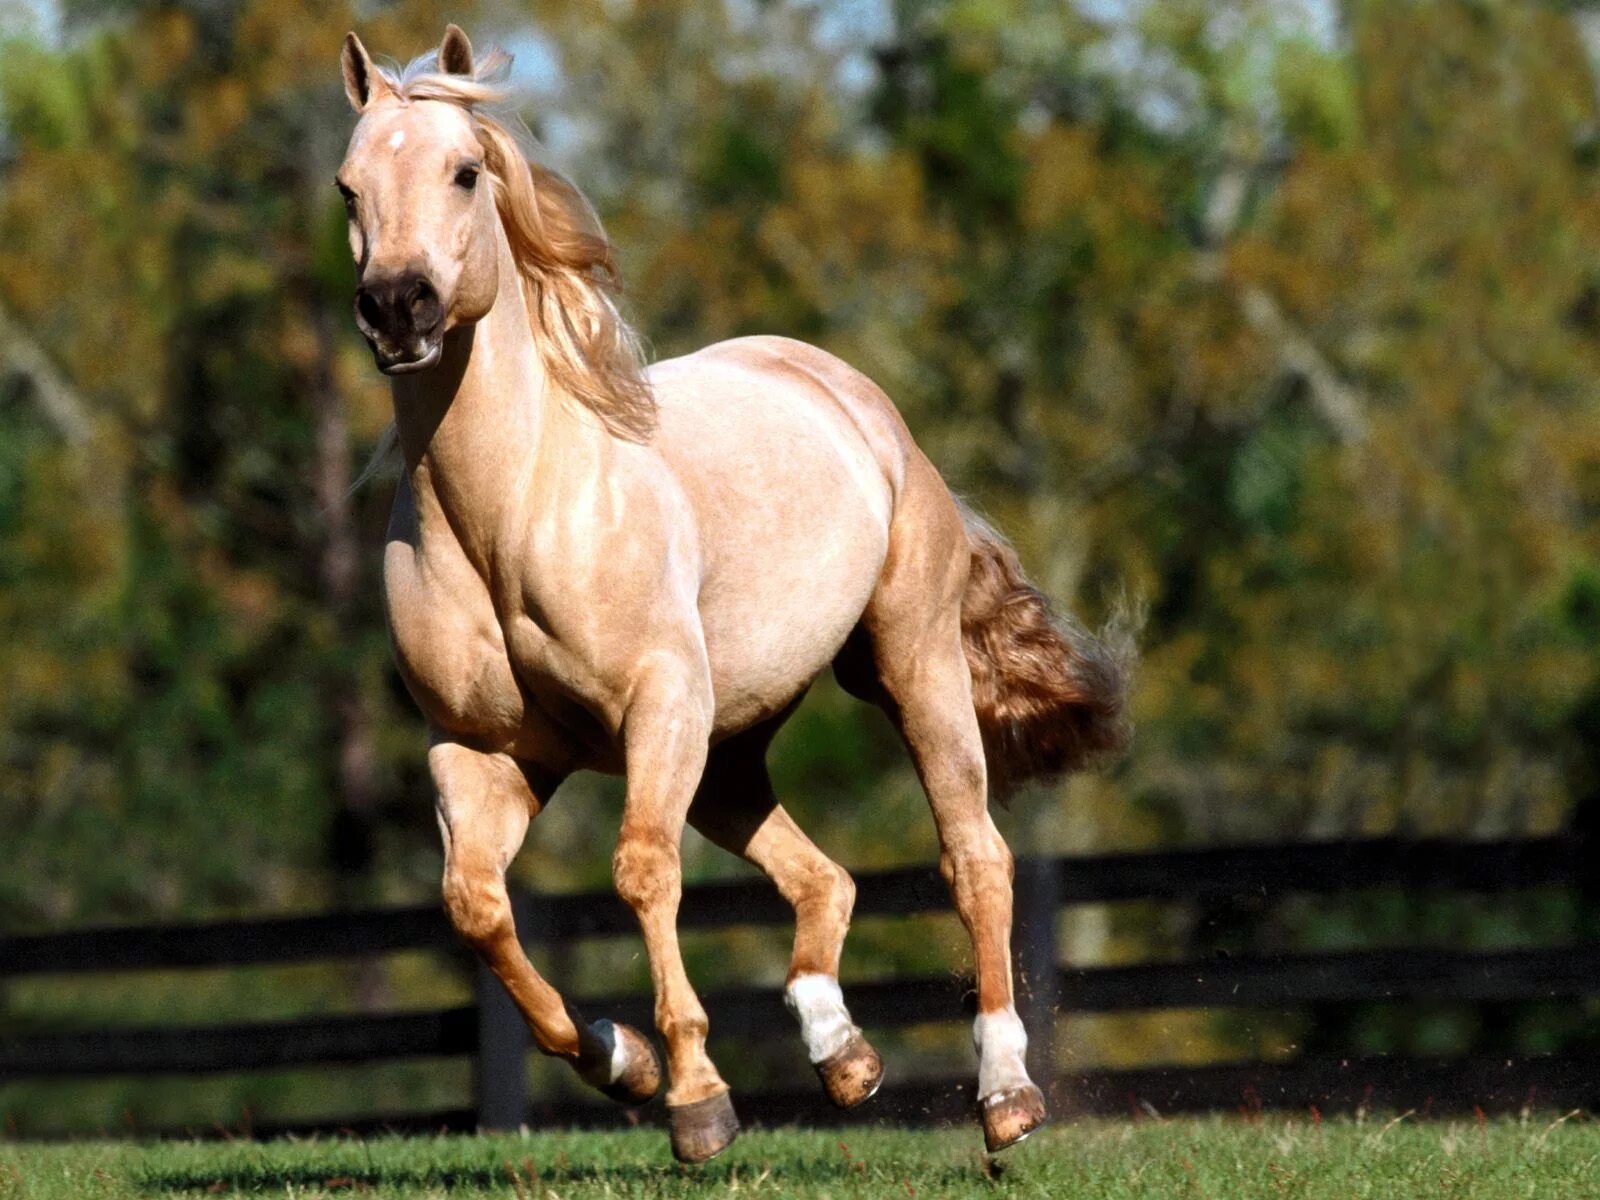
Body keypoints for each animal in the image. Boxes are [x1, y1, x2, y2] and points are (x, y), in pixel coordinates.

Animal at [334, 21, 1139, 1164]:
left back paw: (1006, 1094)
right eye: (349, 186)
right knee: (822, 877)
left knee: (974, 857)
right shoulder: (483, 753)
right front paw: (621, 1060)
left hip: (909, 665)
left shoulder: (657, 707)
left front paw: (696, 1100)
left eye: (464, 170)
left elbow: (639, 871)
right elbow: (475, 908)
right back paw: (841, 1056)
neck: (511, 512)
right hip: (729, 746)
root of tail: (857, 401)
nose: (399, 306)